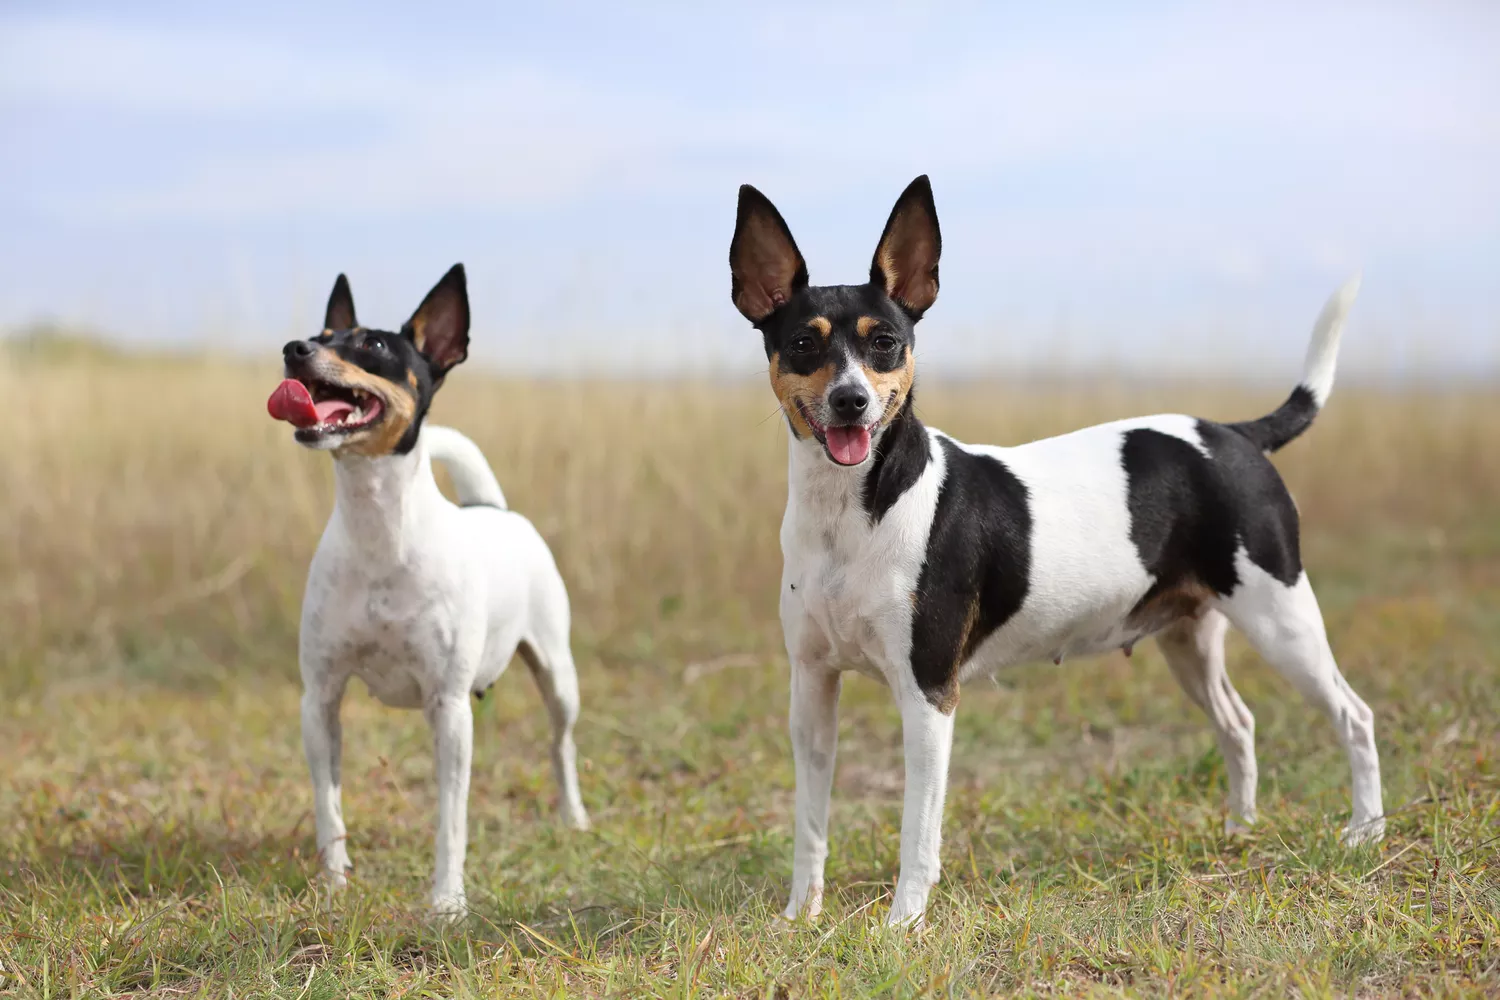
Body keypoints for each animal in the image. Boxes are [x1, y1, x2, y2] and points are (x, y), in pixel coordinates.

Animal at [273, 263, 588, 917]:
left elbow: (451, 819)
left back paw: (573, 816)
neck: (380, 533)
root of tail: (490, 506)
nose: (293, 349)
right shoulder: (320, 699)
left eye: (373, 345)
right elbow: (328, 805)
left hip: (557, 672)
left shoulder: (449, 707)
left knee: (561, 745)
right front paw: (334, 883)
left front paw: (447, 901)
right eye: (320, 334)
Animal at [726, 173, 1380, 929]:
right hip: (1190, 637)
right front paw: (799, 917)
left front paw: (903, 924)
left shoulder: (928, 695)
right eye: (804, 344)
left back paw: (1365, 832)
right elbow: (811, 823)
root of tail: (1235, 434)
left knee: (1354, 716)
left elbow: (917, 830)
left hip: (1282, 621)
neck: (854, 515)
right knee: (1238, 724)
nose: (851, 401)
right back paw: (1239, 831)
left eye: (884, 342)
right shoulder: (811, 690)